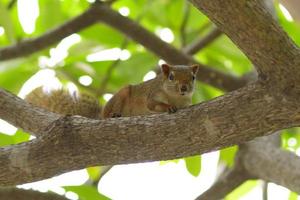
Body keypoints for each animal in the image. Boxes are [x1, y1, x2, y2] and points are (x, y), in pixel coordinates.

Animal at [25, 64, 199, 119]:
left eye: (193, 77)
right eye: (171, 77)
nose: (184, 88)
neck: (175, 97)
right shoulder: (153, 93)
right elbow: (152, 105)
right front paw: (168, 107)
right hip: (122, 95)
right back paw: (113, 114)